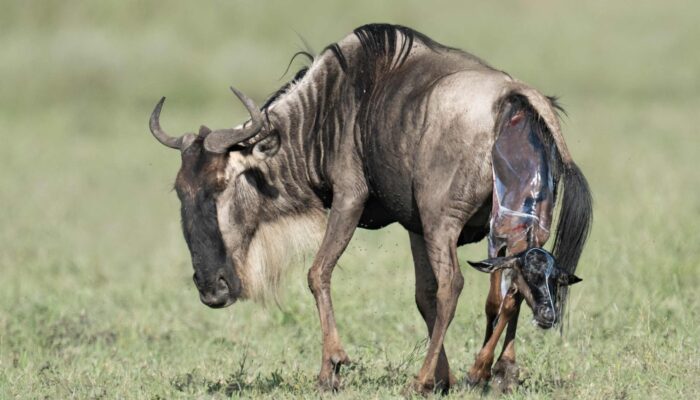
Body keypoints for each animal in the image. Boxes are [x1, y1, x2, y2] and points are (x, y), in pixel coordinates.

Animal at [146, 24, 592, 394]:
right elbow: (423, 296)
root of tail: (515, 99)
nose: (212, 289)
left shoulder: (350, 198)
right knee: (515, 281)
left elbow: (318, 273)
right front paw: (445, 378)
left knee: (455, 285)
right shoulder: (414, 224)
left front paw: (331, 368)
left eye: (224, 184)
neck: (324, 113)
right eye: (180, 191)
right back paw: (496, 373)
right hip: (517, 225)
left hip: (443, 221)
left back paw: (426, 379)